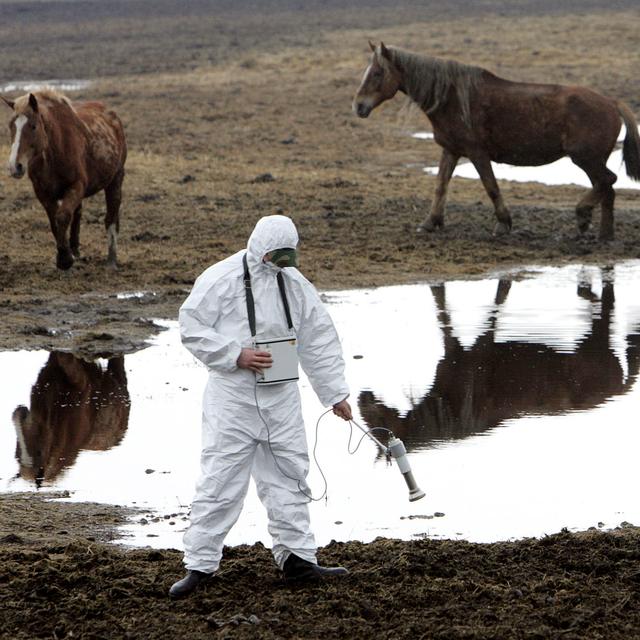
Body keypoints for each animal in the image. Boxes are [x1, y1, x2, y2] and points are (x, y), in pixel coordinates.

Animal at [1, 89, 126, 268]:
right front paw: (66, 254)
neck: (55, 150)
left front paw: (65, 259)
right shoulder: (43, 193)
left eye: (33, 126)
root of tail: (112, 116)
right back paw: (75, 250)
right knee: (78, 213)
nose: (15, 166)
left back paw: (111, 260)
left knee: (111, 217)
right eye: (11, 126)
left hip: (116, 179)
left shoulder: (76, 186)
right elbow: (55, 220)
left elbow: (63, 216)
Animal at [356, 41, 640, 240]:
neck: (452, 98)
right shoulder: (451, 150)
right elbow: (440, 186)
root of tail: (612, 102)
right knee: (607, 189)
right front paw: (430, 222)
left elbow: (491, 187)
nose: (358, 106)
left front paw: (504, 223)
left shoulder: (477, 154)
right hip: (591, 161)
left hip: (585, 159)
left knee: (607, 182)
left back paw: (582, 216)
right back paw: (603, 234)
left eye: (378, 73)